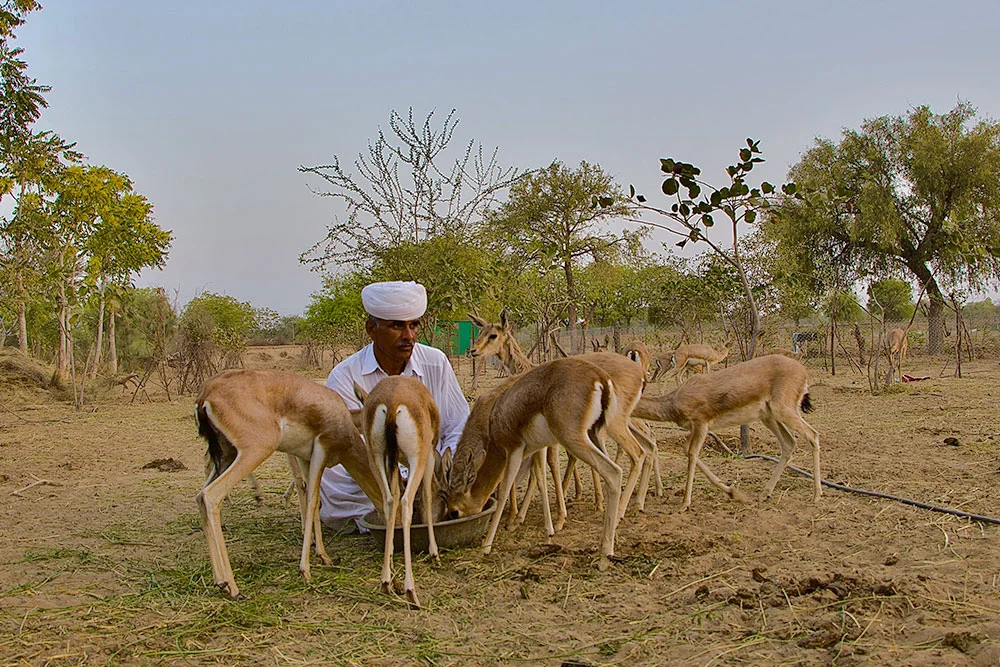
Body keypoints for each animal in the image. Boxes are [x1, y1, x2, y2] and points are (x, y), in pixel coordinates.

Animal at [194, 369, 382, 599]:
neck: (341, 415)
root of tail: (206, 394)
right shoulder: (321, 449)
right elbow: (311, 500)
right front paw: (305, 570)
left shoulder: (304, 457)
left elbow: (312, 499)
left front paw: (323, 555)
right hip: (255, 450)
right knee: (211, 496)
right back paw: (233, 587)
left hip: (226, 455)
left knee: (200, 496)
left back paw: (219, 580)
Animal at [352, 376, 440, 608]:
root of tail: (392, 403)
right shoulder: (429, 455)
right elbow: (427, 496)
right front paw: (434, 554)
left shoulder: (391, 464)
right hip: (417, 458)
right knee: (406, 502)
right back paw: (411, 591)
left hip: (376, 458)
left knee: (389, 501)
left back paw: (385, 581)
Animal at [445, 357, 642, 570]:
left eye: (454, 512)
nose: (449, 517)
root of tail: (600, 377)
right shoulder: (536, 448)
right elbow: (539, 479)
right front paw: (547, 532)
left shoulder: (514, 450)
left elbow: (505, 489)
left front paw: (486, 546)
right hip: (594, 434)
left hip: (574, 439)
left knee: (615, 471)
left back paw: (605, 556)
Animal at [633, 354, 821, 510]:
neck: (674, 401)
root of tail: (802, 370)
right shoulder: (694, 429)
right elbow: (687, 450)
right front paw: (733, 493)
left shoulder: (701, 424)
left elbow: (692, 454)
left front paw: (684, 504)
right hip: (768, 417)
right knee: (789, 443)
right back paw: (764, 494)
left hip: (783, 411)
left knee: (813, 435)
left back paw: (816, 495)